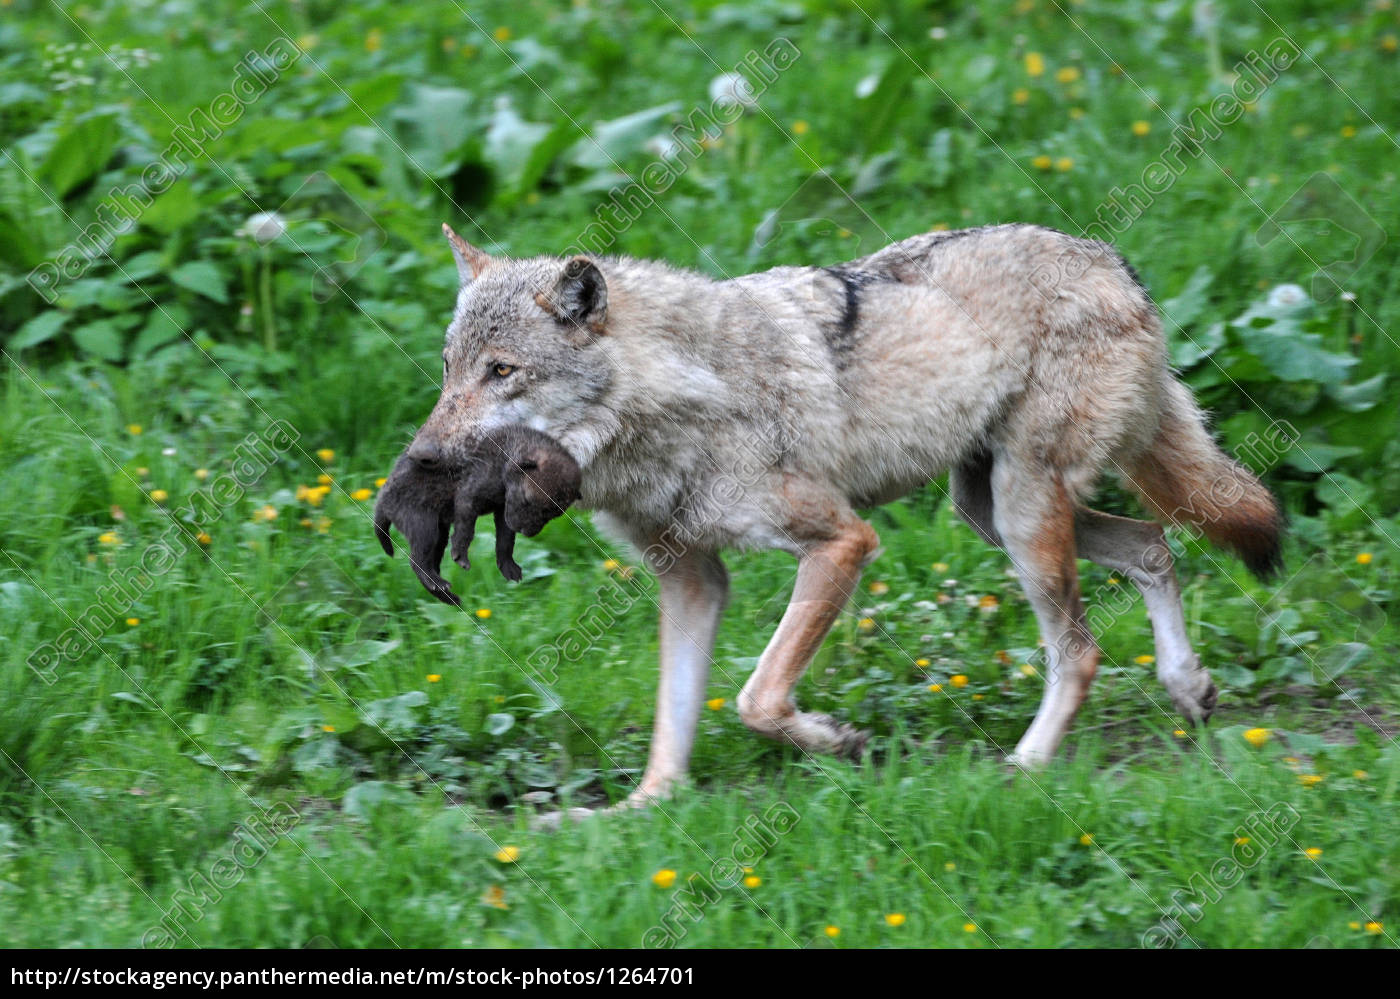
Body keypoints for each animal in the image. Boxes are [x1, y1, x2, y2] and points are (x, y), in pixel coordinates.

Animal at [375, 422, 582, 598]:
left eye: (551, 515)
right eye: (526, 500)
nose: (526, 532)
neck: (507, 454)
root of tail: (382, 497)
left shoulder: (503, 511)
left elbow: (505, 541)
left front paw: (508, 567)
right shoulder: (468, 498)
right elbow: (467, 530)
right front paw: (460, 555)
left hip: (438, 532)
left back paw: (447, 594)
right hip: (423, 526)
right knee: (417, 560)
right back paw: (437, 583)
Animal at [406, 222, 1282, 805]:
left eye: (502, 371)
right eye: (448, 370)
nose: (421, 460)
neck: (676, 399)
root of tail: (1114, 262)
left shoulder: (840, 540)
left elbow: (757, 698)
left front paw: (839, 742)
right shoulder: (691, 578)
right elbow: (674, 721)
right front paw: (644, 809)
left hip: (1024, 516)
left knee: (1083, 649)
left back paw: (1028, 765)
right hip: (992, 512)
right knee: (1155, 544)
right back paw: (1189, 686)